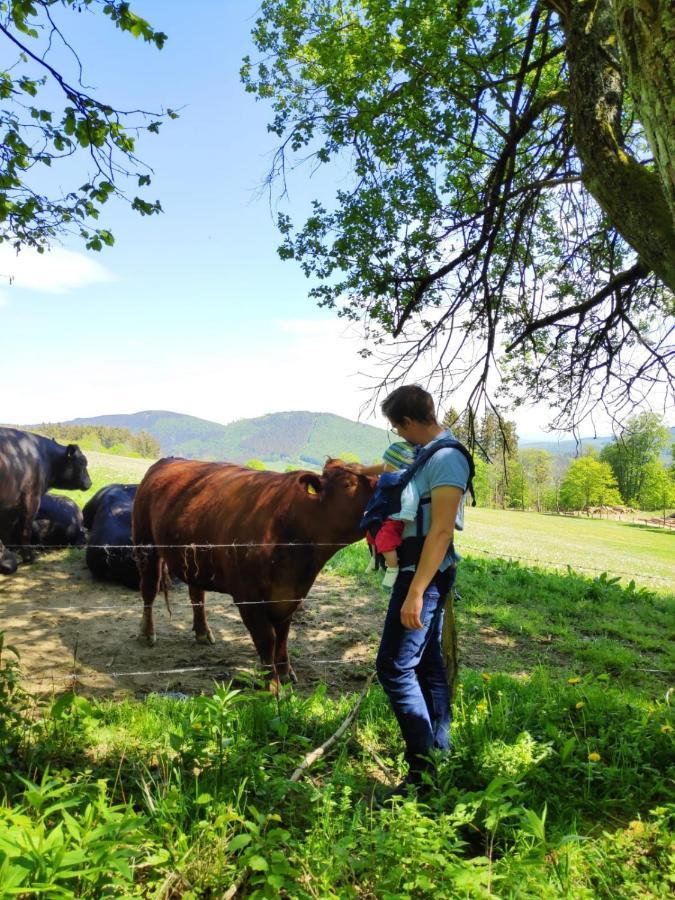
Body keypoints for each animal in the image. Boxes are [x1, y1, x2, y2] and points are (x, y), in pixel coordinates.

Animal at [131, 460, 374, 684]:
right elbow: (267, 639)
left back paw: (202, 633)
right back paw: (146, 633)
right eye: (348, 484)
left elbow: (283, 635)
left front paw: (285, 672)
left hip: (193, 557)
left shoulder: (290, 594)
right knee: (149, 590)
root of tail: (166, 461)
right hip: (146, 546)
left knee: (196, 594)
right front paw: (271, 684)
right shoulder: (247, 597)